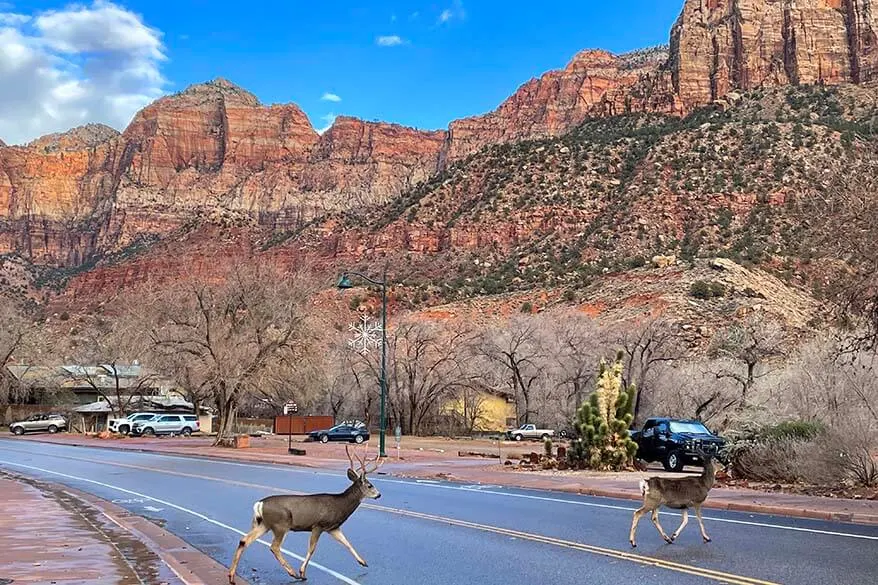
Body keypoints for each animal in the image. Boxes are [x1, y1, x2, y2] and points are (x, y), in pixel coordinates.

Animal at [230, 444, 384, 580]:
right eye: (370, 485)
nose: (379, 495)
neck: (340, 505)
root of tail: (259, 504)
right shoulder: (318, 525)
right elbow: (312, 549)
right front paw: (302, 572)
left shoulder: (333, 528)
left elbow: (347, 543)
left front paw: (363, 562)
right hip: (281, 524)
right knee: (274, 547)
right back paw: (293, 573)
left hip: (264, 524)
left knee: (244, 540)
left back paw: (231, 575)